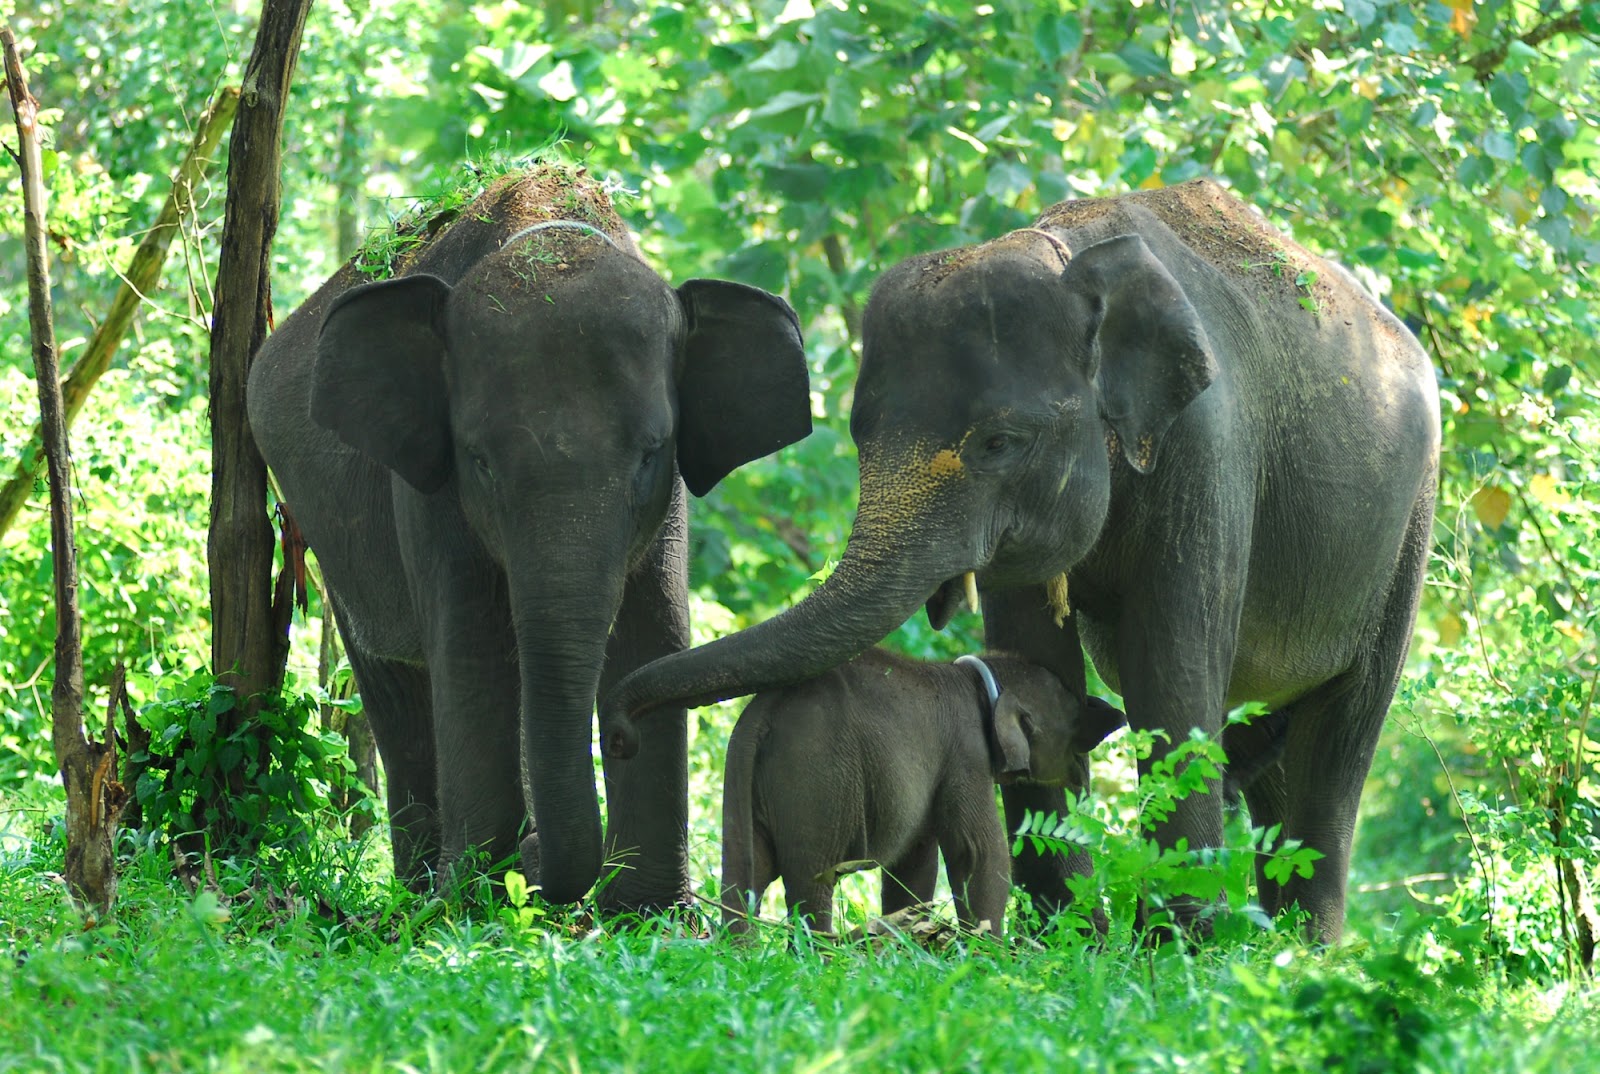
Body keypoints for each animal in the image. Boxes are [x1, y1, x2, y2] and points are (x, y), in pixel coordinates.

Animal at [248, 165, 812, 909]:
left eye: (650, 454)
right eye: (480, 460)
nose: (619, 739)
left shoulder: (668, 500)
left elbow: (654, 628)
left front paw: (647, 911)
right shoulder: (428, 486)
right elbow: (473, 643)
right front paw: (473, 899)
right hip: (324, 534)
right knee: (395, 688)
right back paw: (422, 891)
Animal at [700, 649, 1126, 934]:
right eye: (1072, 717)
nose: (1117, 715)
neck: (979, 676)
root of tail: (761, 714)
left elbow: (914, 864)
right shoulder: (965, 755)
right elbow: (978, 852)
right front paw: (989, 954)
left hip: (748, 784)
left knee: (745, 875)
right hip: (814, 782)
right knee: (811, 883)